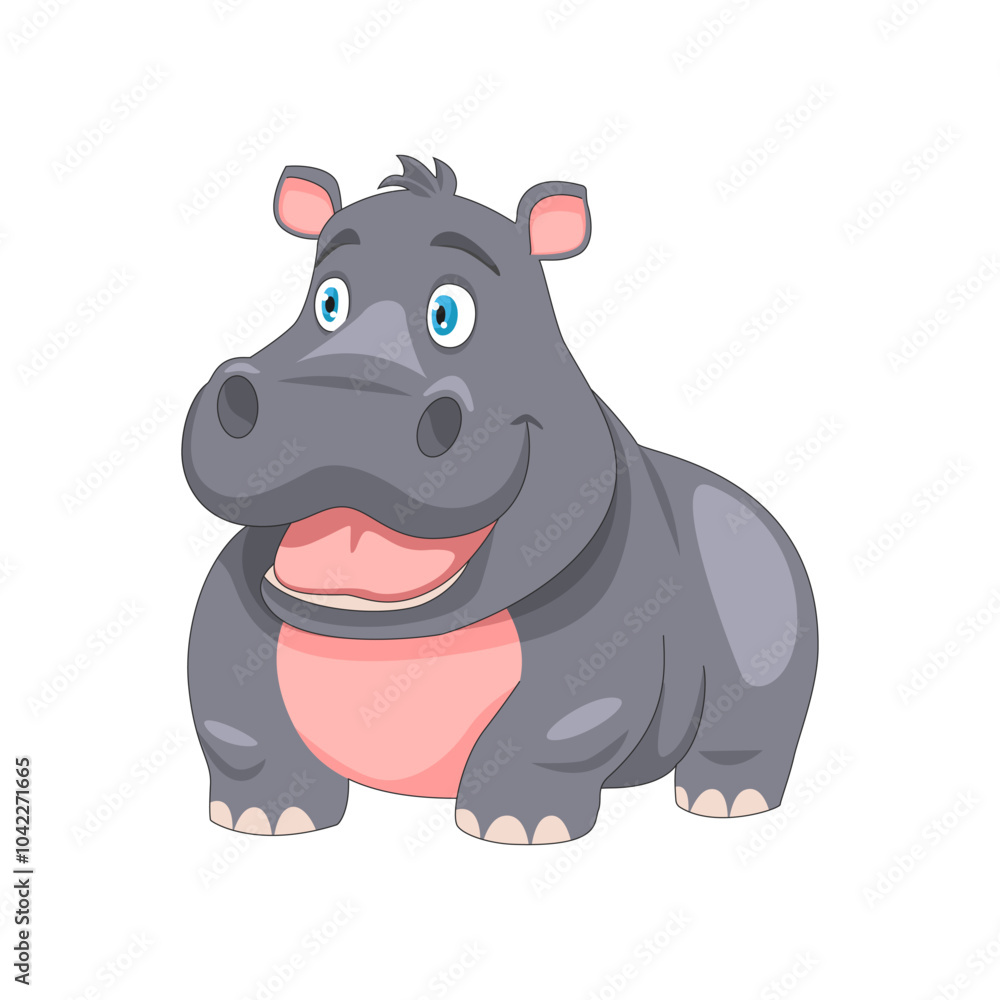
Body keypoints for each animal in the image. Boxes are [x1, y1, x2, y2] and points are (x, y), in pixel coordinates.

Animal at [182, 156, 817, 844]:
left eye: (450, 312)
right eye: (327, 301)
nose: (335, 398)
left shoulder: (601, 640)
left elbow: (556, 727)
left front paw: (518, 827)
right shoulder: (235, 604)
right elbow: (235, 719)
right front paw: (265, 819)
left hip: (762, 593)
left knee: (754, 720)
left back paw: (725, 801)